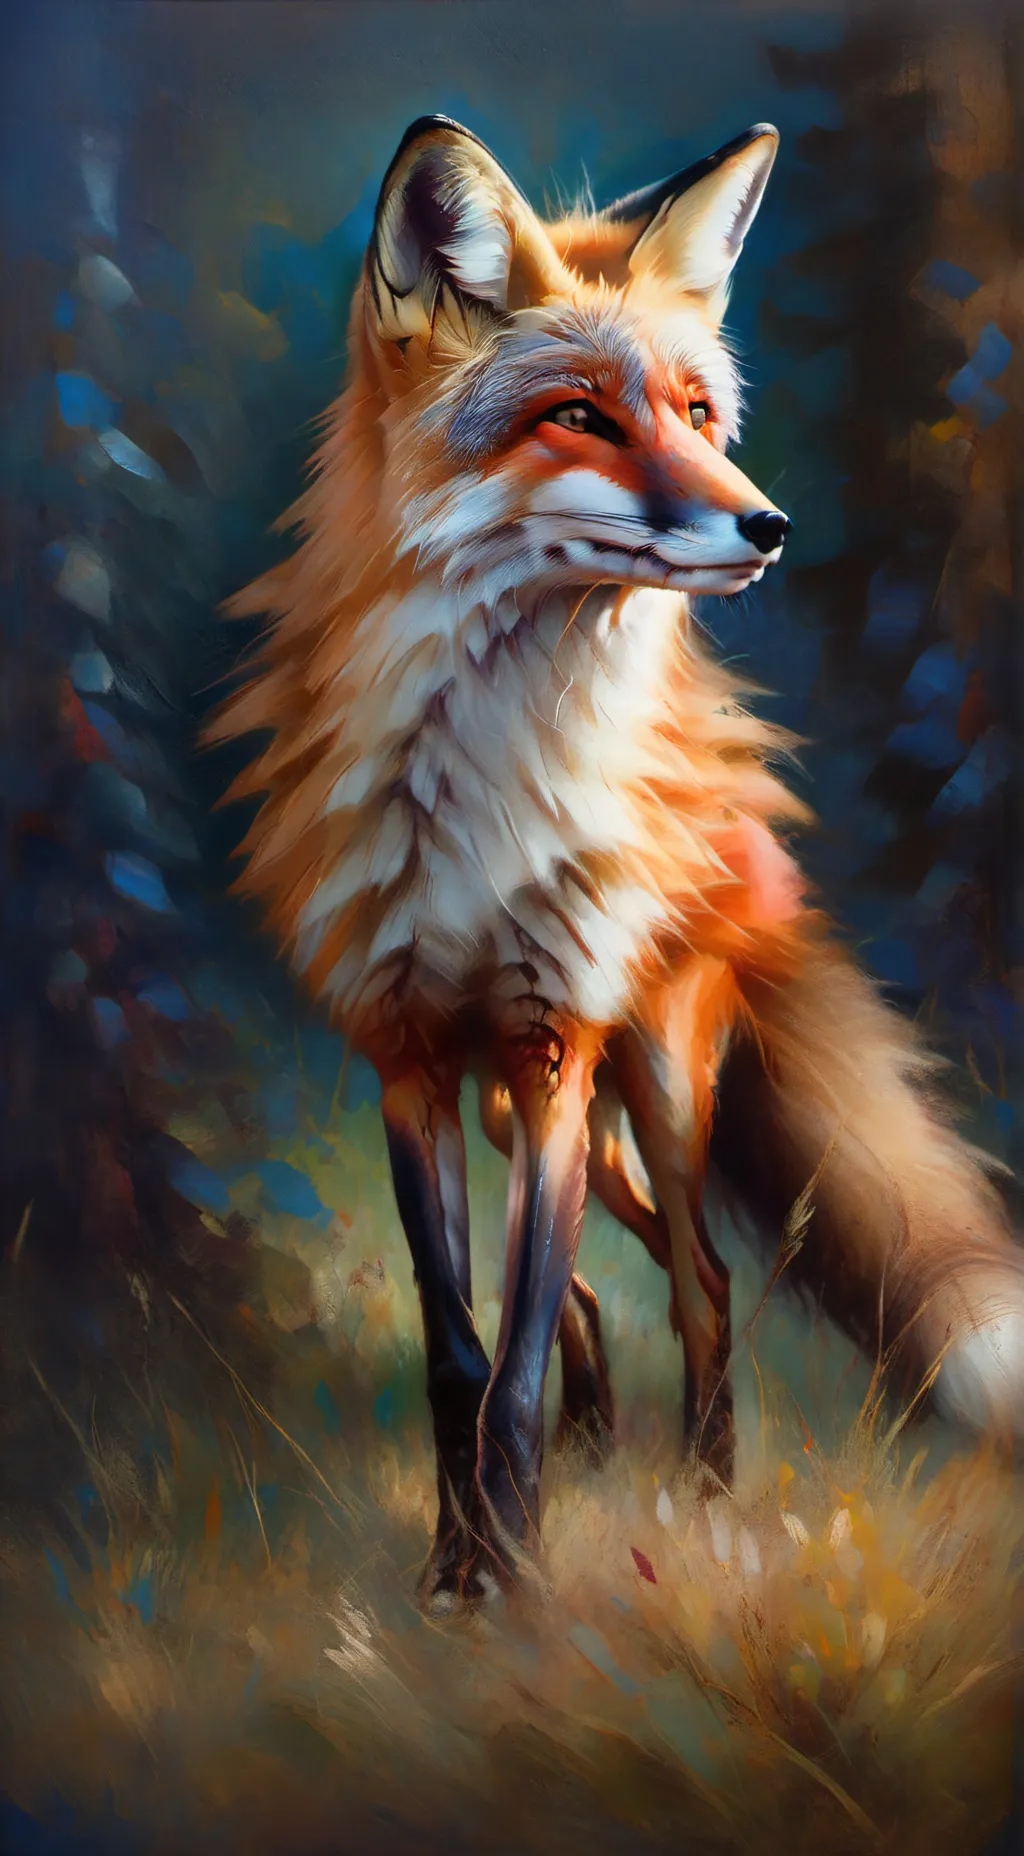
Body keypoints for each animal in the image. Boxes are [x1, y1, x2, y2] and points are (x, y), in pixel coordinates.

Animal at [207, 115, 1024, 1614]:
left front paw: (517, 1575)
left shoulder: (552, 1041)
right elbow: (464, 1355)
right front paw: (460, 1568)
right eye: (578, 414)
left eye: (697, 413)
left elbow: (517, 1362)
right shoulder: (413, 1060)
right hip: (529, 1111)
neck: (486, 787)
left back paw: (702, 1500)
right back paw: (596, 1456)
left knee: (699, 1279)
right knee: (600, 1283)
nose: (767, 526)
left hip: (648, 1078)